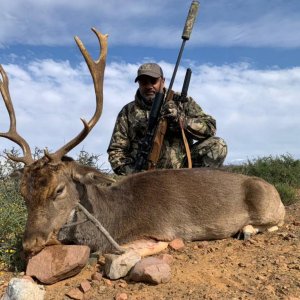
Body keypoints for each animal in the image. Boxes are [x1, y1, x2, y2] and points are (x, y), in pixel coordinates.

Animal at [0, 28, 286, 258]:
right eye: (23, 193)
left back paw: (247, 229)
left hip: (269, 206)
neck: (113, 217)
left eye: (58, 190)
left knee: (277, 220)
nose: (30, 245)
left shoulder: (156, 233)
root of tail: (273, 188)